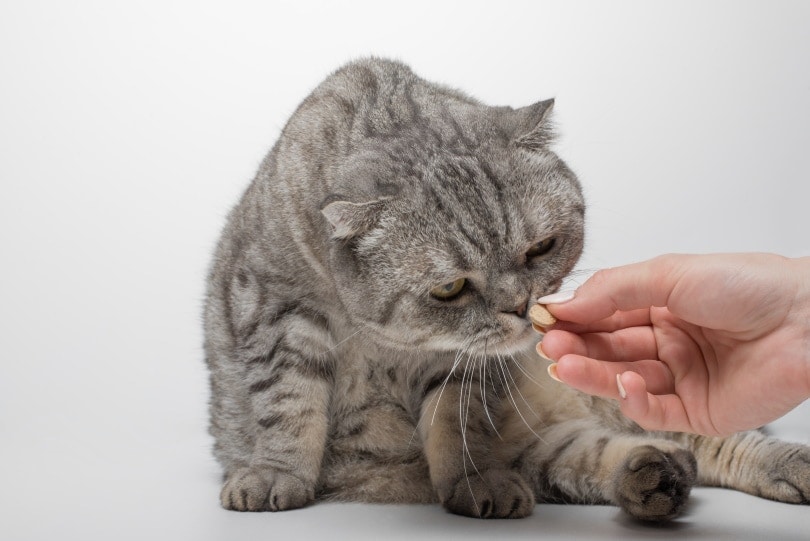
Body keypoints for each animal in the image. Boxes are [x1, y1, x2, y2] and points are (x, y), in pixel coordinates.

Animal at [204, 58, 808, 520]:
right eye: (451, 286)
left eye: (541, 247)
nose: (520, 306)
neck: (389, 343)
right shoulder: (275, 310)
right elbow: (287, 404)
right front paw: (276, 472)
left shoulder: (465, 368)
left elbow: (457, 424)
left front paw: (472, 482)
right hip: (553, 451)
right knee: (619, 454)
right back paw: (653, 478)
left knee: (708, 438)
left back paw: (780, 465)